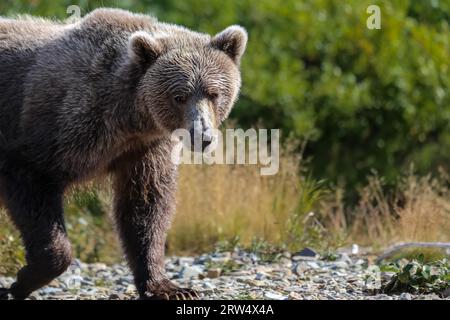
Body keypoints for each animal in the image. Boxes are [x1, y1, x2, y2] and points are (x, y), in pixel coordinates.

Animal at [0, 8, 246, 300]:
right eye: (179, 96)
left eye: (214, 93)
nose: (203, 136)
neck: (129, 118)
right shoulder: (58, 126)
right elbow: (31, 181)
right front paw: (23, 279)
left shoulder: (143, 149)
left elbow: (145, 206)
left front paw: (168, 287)